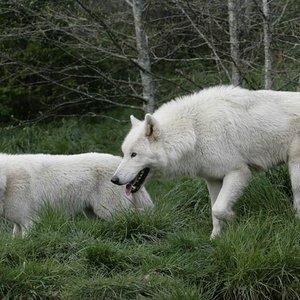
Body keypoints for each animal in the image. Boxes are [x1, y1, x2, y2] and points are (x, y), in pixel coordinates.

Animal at [0, 152, 154, 237]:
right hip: (93, 215)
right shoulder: (18, 223)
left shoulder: (30, 222)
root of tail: (119, 162)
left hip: (110, 212)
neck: (7, 180)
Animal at [110, 85, 300, 239]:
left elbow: (219, 209)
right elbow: (215, 211)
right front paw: (215, 238)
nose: (114, 180)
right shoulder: (213, 179)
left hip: (295, 169)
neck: (194, 131)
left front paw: (233, 217)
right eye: (124, 153)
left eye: (134, 154)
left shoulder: (238, 172)